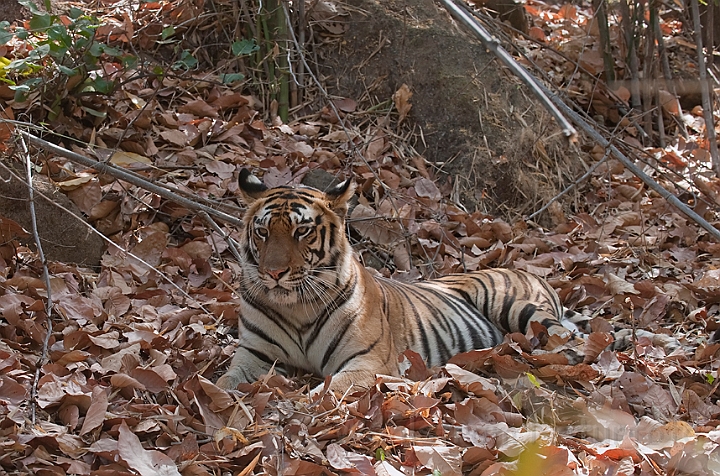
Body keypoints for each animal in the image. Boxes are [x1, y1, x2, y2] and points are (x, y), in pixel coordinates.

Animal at [217, 169, 600, 392]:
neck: (295, 307)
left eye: (302, 231)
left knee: (575, 342)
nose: (273, 273)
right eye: (263, 232)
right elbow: (223, 382)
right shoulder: (253, 354)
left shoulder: (369, 362)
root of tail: (531, 272)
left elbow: (326, 390)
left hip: (516, 306)